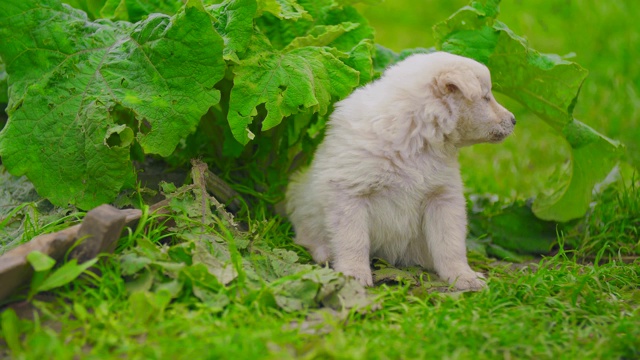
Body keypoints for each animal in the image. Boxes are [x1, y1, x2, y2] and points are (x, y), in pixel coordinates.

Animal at [284, 51, 516, 290]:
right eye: (486, 97)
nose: (514, 120)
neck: (415, 135)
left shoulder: (443, 197)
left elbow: (450, 244)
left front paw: (463, 276)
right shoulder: (349, 193)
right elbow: (353, 240)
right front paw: (354, 273)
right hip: (301, 197)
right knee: (307, 234)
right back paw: (324, 252)